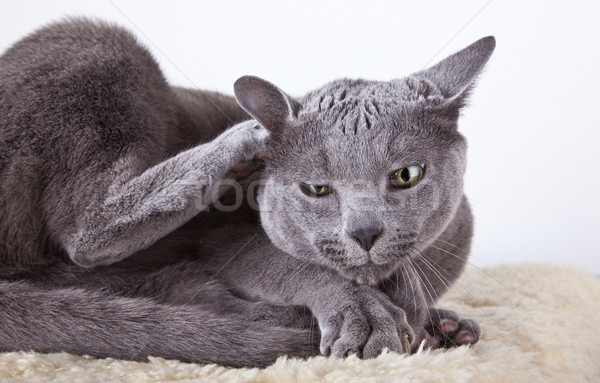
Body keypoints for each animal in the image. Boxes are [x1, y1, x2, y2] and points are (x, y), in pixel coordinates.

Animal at [0, 17, 494, 368]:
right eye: (316, 188)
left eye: (407, 175)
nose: (365, 231)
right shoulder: (226, 236)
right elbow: (290, 264)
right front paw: (367, 315)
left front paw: (434, 319)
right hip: (97, 41)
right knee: (87, 234)